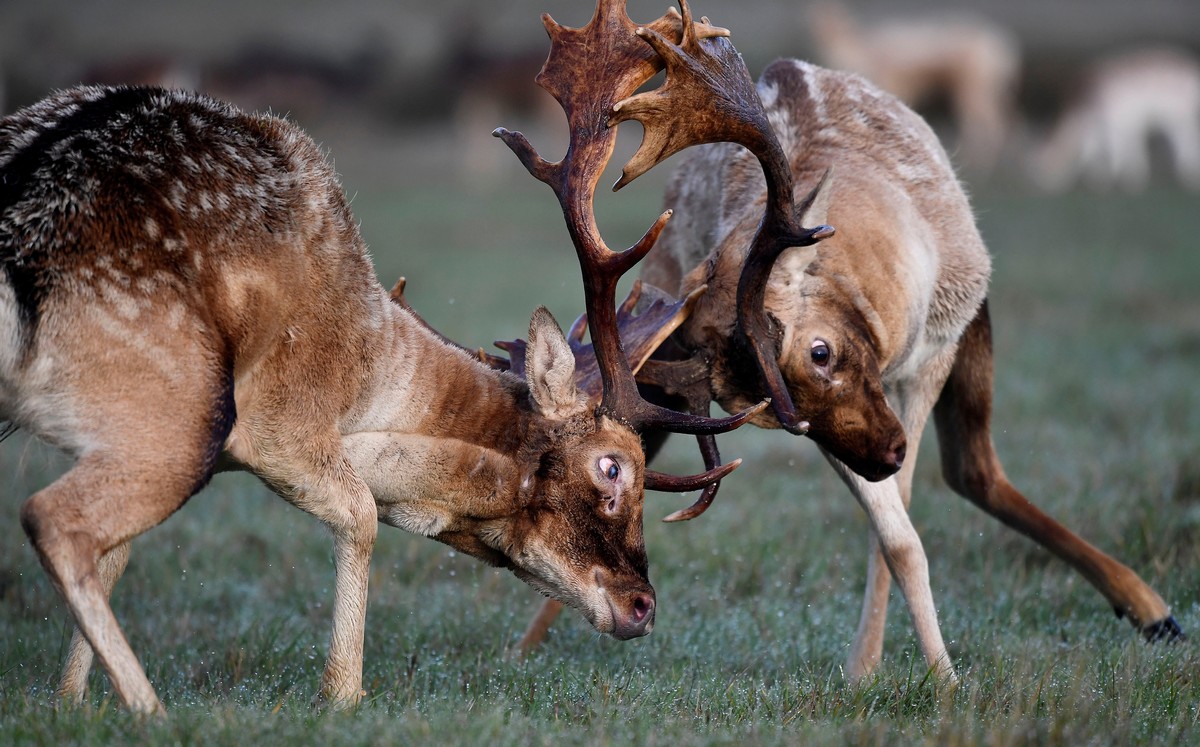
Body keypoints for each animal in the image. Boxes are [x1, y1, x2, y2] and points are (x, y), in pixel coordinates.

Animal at [0, 73, 758, 715]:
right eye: (612, 466)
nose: (643, 606)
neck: (365, 374)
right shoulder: (275, 423)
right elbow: (361, 513)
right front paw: (342, 694)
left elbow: (120, 554)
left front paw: (68, 698)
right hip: (184, 409)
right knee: (50, 516)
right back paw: (152, 710)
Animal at [801, 2, 1017, 176]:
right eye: (817, 26)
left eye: (837, 25)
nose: (824, 36)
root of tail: (1000, 46)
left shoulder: (894, 87)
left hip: (971, 92)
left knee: (988, 124)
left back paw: (979, 165)